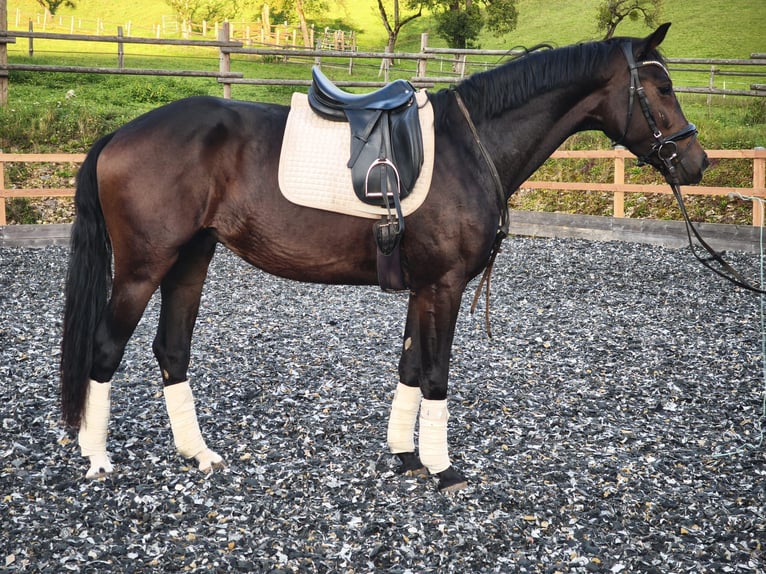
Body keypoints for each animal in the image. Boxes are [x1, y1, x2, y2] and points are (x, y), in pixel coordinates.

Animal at [60, 23, 708, 491]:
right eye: (662, 89)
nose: (697, 163)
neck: (468, 148)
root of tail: (120, 135)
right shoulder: (445, 285)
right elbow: (437, 374)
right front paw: (443, 469)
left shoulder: (423, 288)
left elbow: (410, 368)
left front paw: (406, 457)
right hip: (143, 269)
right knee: (104, 349)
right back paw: (98, 460)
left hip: (190, 261)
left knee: (171, 351)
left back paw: (199, 454)